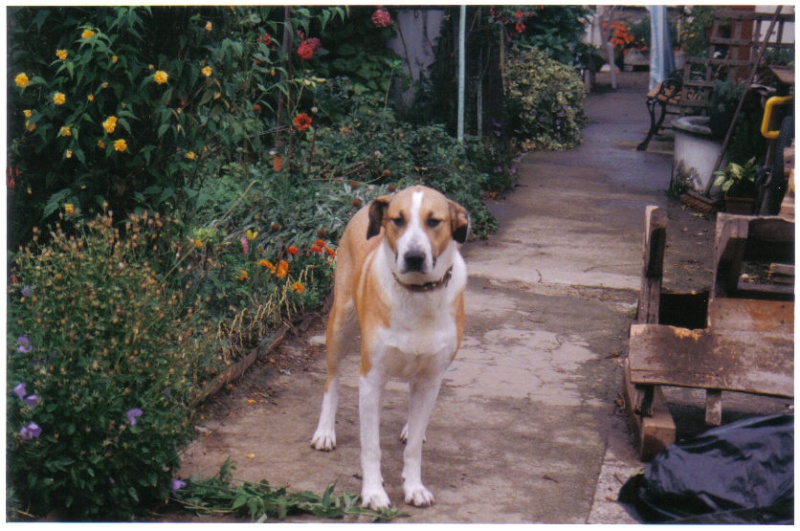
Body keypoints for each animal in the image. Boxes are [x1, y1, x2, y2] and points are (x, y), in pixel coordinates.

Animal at [310, 185, 468, 510]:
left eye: (434, 221)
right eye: (398, 220)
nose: (414, 256)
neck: (418, 294)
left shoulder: (430, 378)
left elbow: (414, 447)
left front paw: (414, 486)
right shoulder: (371, 379)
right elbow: (371, 445)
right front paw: (373, 492)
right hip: (340, 324)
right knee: (332, 380)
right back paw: (325, 432)